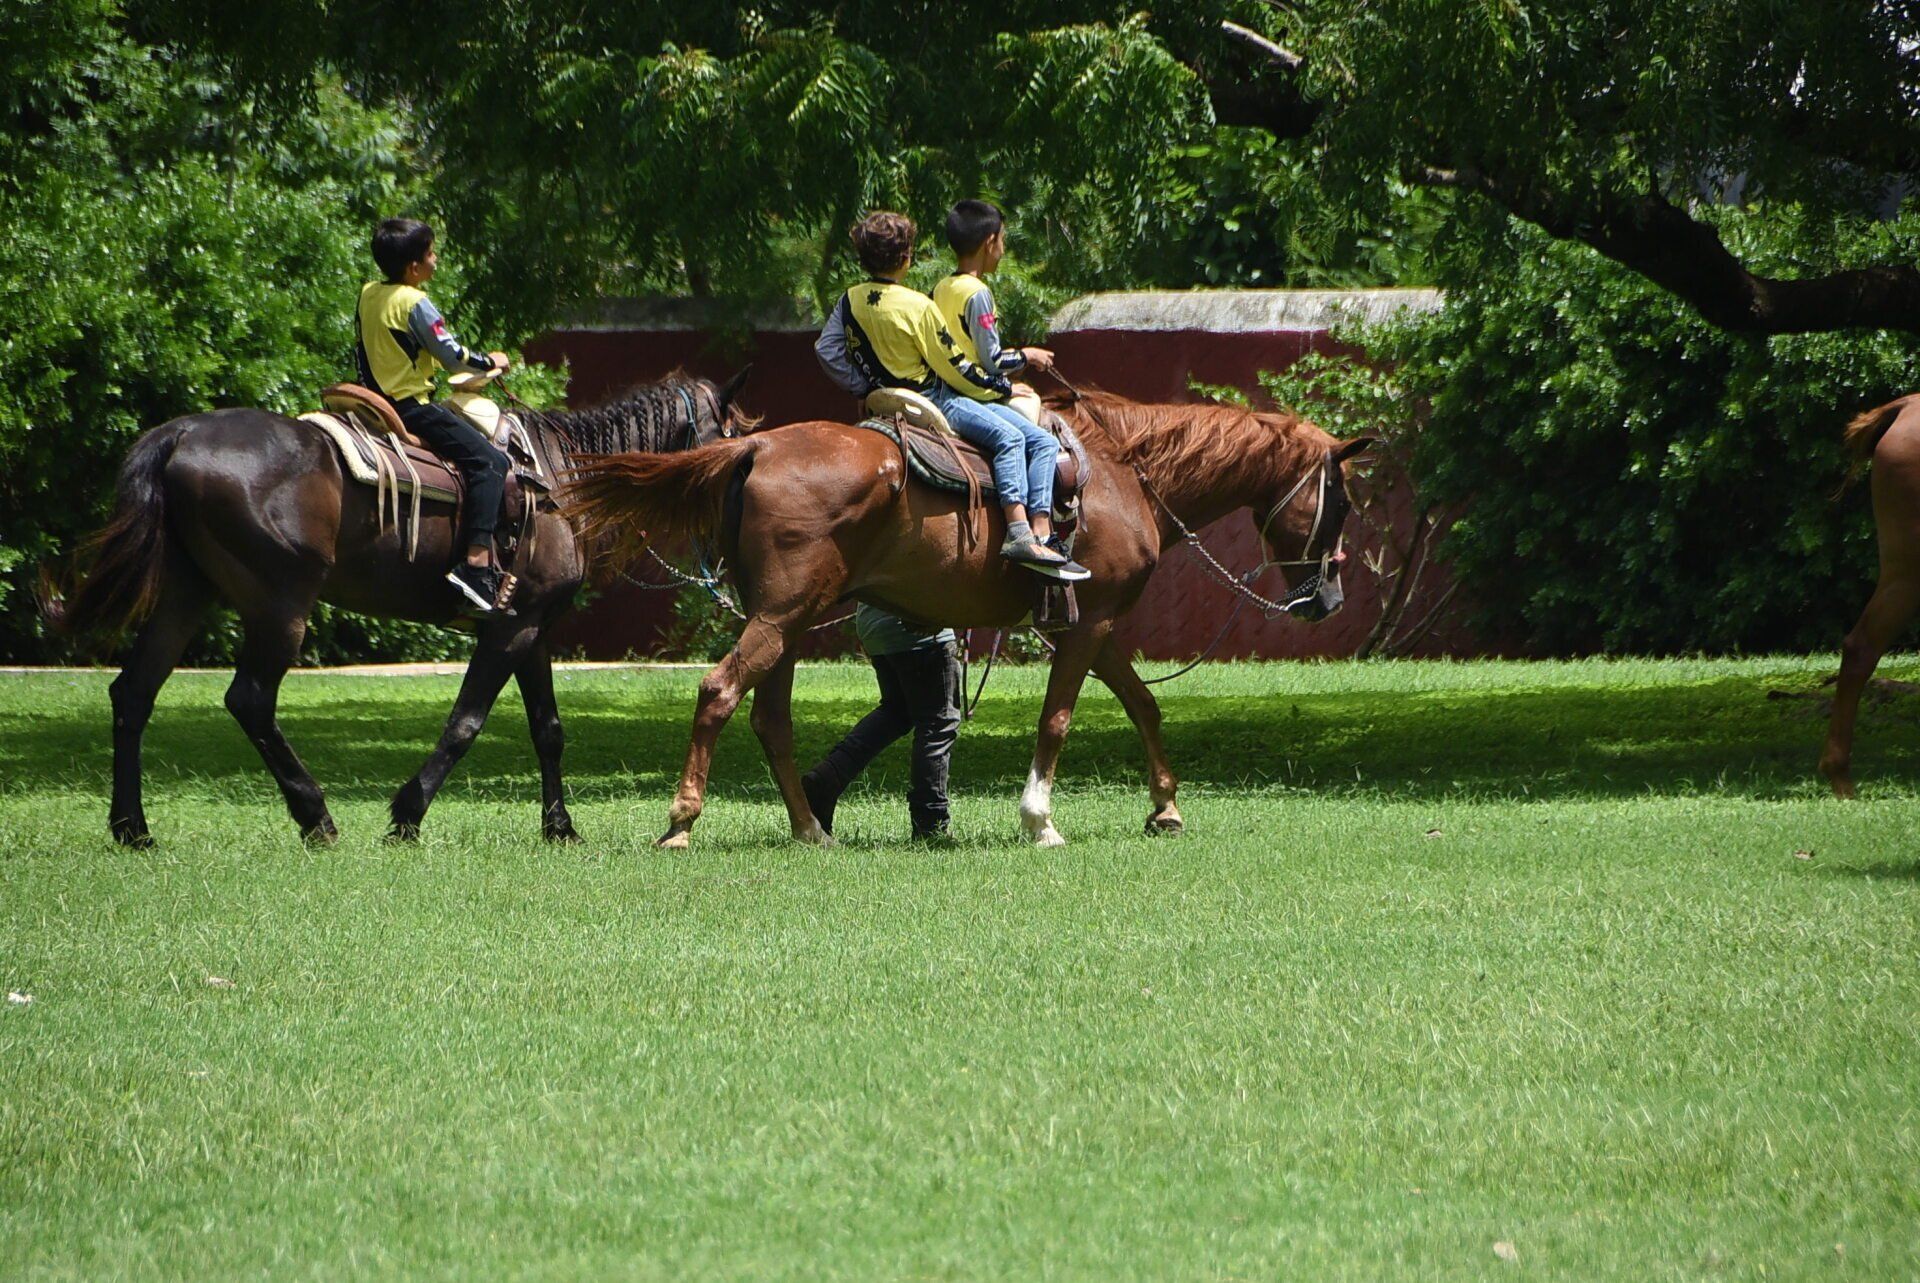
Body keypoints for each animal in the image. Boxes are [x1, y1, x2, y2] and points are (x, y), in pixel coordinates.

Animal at [48, 372, 752, 841]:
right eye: (734, 444)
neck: (555, 481)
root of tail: (181, 433)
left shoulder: (533, 629)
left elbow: (547, 730)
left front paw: (560, 827)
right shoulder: (507, 629)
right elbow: (465, 723)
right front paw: (408, 813)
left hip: (186, 598)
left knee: (133, 694)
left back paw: (133, 827)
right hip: (281, 607)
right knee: (248, 700)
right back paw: (315, 814)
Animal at [564, 391, 1367, 852]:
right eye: (1343, 501)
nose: (1330, 601)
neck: (1121, 474)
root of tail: (756, 444)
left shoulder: (1094, 624)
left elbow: (1145, 705)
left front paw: (1165, 808)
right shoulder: (1086, 628)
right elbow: (1057, 720)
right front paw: (1039, 820)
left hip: (787, 622)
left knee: (771, 719)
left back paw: (809, 828)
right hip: (781, 614)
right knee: (718, 692)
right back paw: (681, 822)